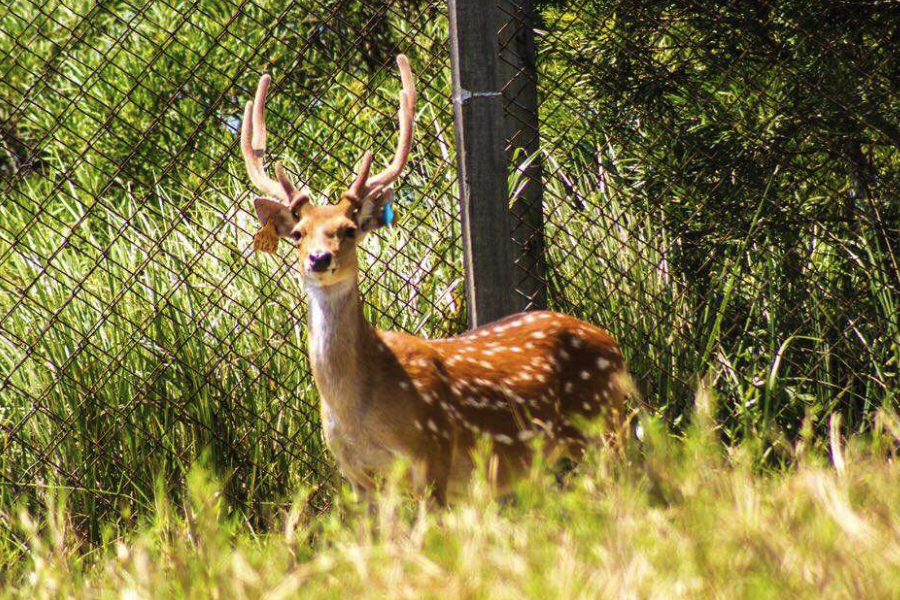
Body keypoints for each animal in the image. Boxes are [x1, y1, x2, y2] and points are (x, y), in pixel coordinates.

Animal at [239, 55, 632, 506]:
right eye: (299, 234)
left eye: (348, 230)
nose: (319, 259)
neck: (357, 409)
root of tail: (612, 343)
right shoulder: (356, 475)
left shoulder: (432, 451)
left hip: (606, 423)